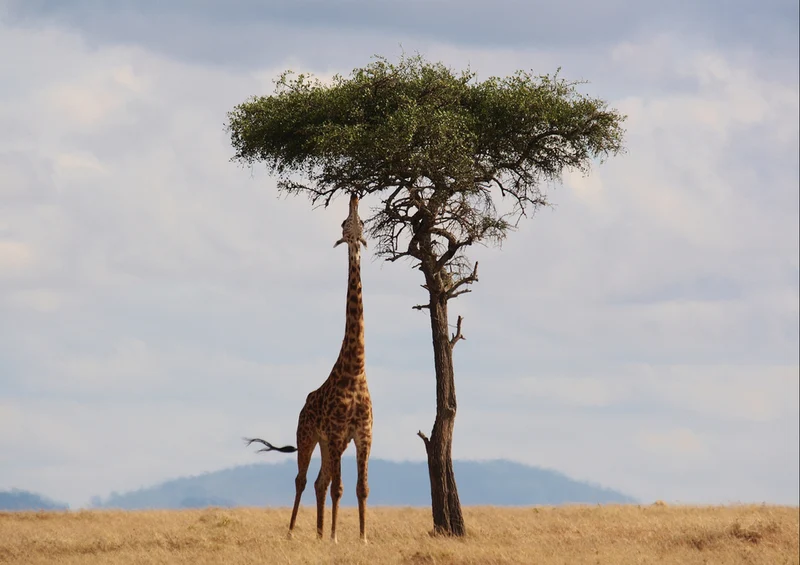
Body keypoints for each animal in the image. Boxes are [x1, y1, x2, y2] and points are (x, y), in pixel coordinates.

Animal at [245, 193, 373, 543]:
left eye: (361, 222)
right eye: (345, 223)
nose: (354, 196)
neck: (355, 369)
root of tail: (303, 405)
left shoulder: (363, 434)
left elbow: (361, 488)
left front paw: (362, 538)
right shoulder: (338, 431)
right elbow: (340, 488)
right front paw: (336, 537)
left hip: (329, 444)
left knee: (319, 482)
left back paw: (317, 534)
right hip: (308, 435)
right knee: (303, 480)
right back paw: (293, 532)